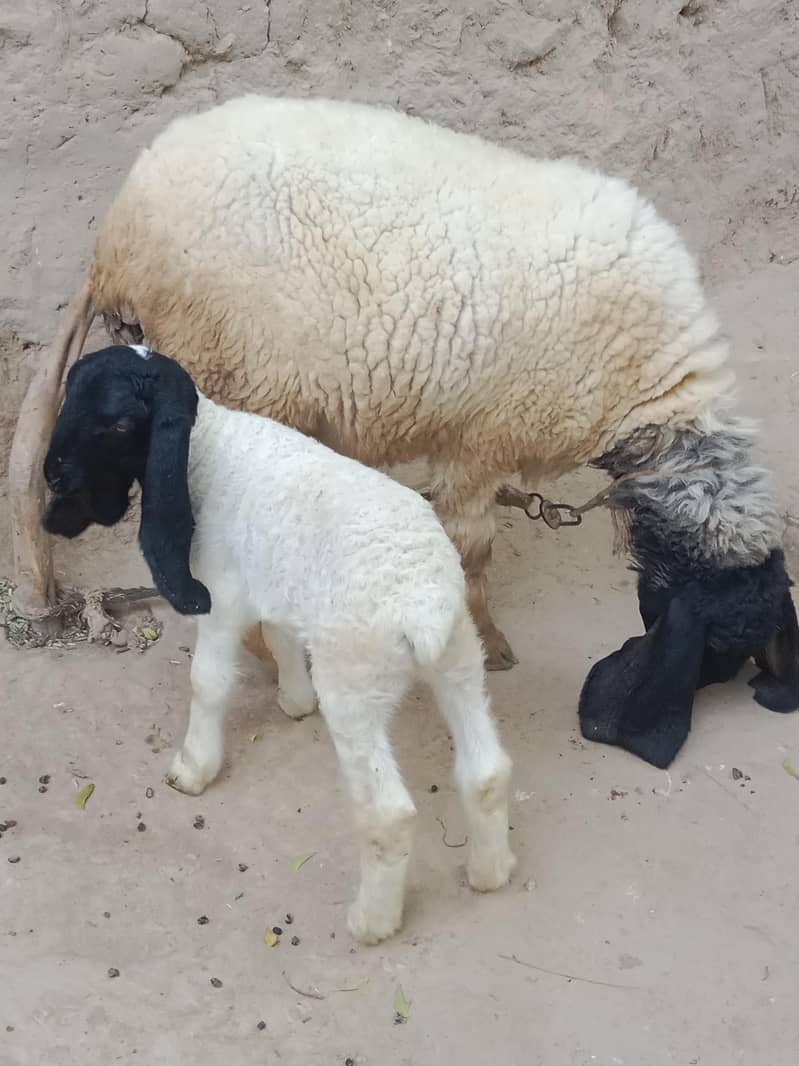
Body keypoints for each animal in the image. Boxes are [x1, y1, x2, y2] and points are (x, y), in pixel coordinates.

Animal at [41, 344, 516, 944]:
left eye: (121, 423)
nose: (53, 473)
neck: (206, 449)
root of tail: (423, 605)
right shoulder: (274, 578)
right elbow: (280, 633)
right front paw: (295, 700)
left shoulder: (220, 597)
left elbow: (208, 683)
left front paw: (192, 768)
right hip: (460, 660)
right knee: (486, 772)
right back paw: (490, 873)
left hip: (356, 684)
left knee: (388, 815)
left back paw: (373, 921)